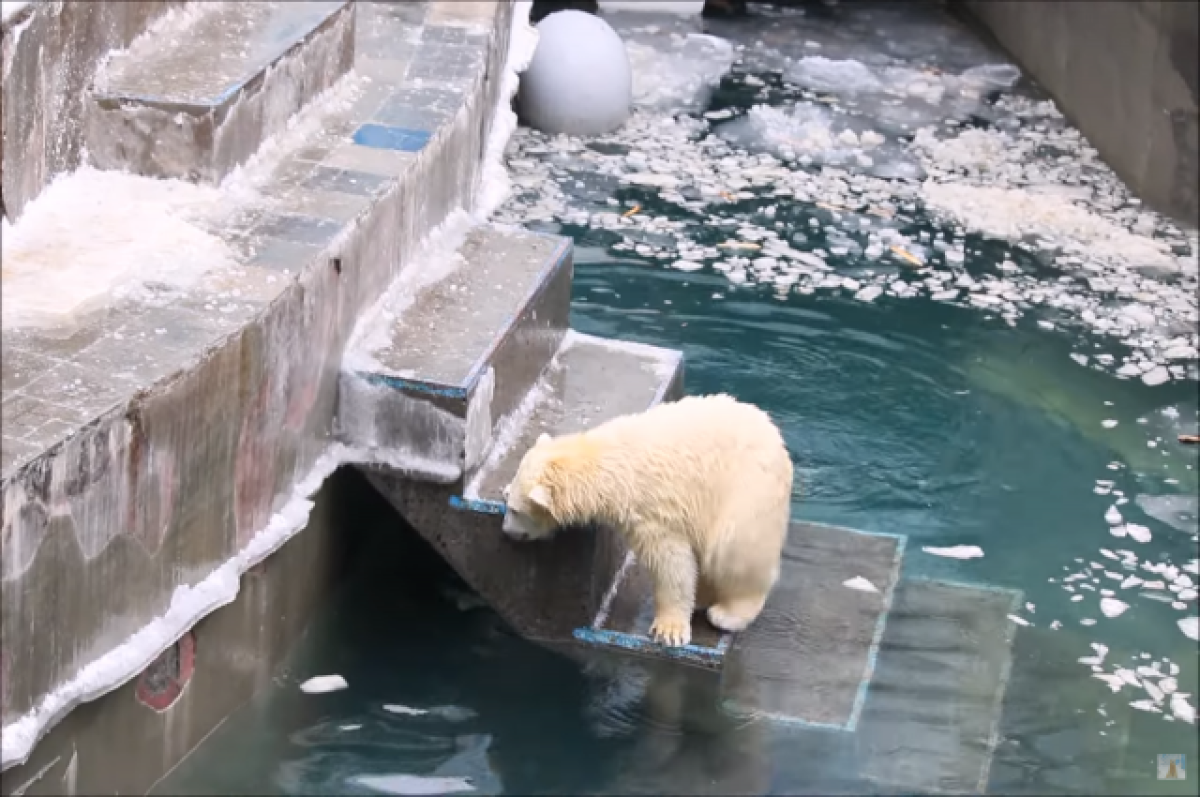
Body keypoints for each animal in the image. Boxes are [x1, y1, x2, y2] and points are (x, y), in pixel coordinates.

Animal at [499, 391, 792, 648]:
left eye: (515, 511)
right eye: (508, 503)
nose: (506, 532)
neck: (609, 462)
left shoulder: (653, 509)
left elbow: (669, 562)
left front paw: (669, 631)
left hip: (747, 493)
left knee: (734, 551)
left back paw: (729, 613)